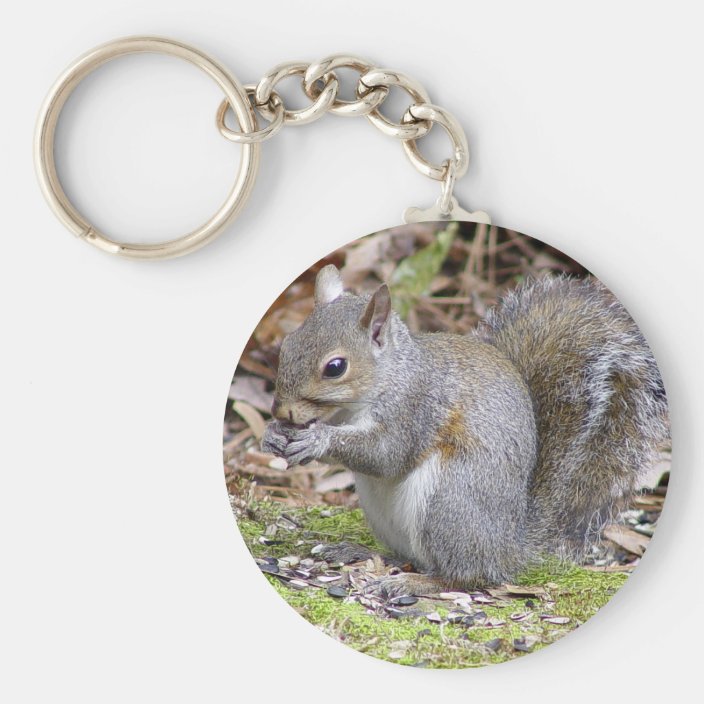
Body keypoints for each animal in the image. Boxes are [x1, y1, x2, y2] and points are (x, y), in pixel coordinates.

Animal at [262, 264, 669, 596]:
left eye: (335, 367)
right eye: (289, 344)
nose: (281, 410)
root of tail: (509, 547)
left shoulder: (417, 407)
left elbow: (386, 454)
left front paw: (317, 440)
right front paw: (273, 434)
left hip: (448, 502)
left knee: (466, 577)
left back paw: (414, 583)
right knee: (410, 555)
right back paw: (360, 552)